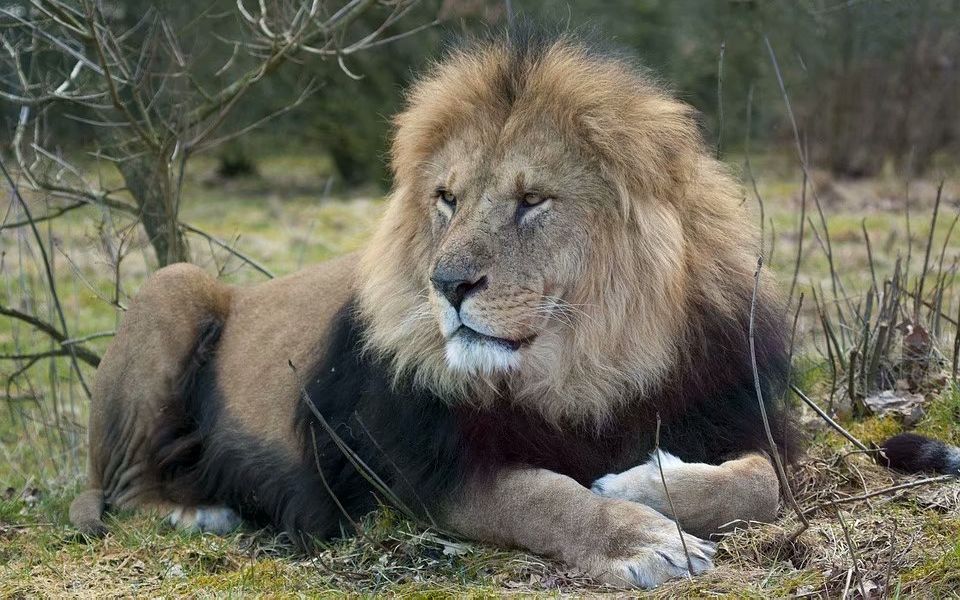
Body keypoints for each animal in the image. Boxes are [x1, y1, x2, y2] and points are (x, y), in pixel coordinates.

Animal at [71, 30, 800, 588]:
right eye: (447, 198)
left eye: (532, 200)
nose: (446, 283)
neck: (587, 368)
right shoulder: (417, 470)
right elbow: (540, 495)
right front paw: (642, 538)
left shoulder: (733, 410)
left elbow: (761, 481)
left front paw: (644, 480)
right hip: (174, 284)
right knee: (124, 489)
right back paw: (197, 513)